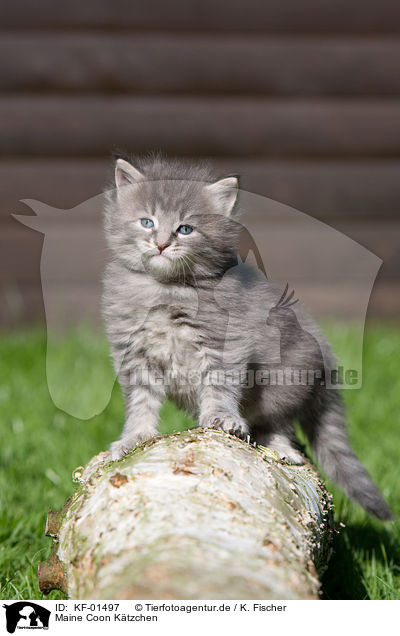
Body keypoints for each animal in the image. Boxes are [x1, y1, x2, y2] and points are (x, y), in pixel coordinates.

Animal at [101, 155, 392, 520]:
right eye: (146, 221)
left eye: (185, 229)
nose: (162, 243)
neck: (166, 291)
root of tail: (326, 357)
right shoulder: (134, 354)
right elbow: (140, 402)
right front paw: (134, 437)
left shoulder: (224, 342)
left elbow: (220, 385)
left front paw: (221, 418)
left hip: (283, 382)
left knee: (278, 425)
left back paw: (281, 448)